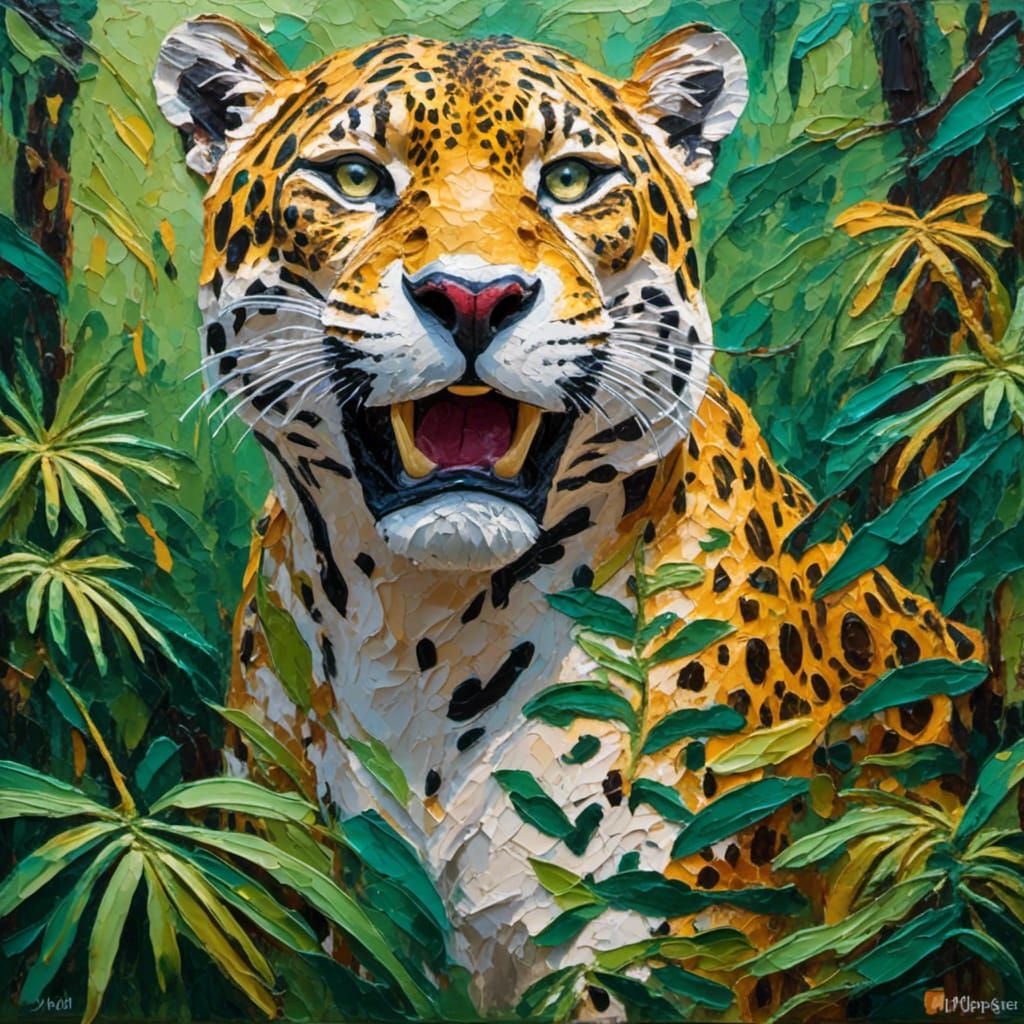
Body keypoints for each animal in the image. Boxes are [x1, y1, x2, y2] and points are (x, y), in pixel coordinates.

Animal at [154, 17, 984, 1020]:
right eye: (354, 177)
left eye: (571, 180)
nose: (474, 297)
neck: (421, 635)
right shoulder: (303, 924)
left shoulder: (660, 947)